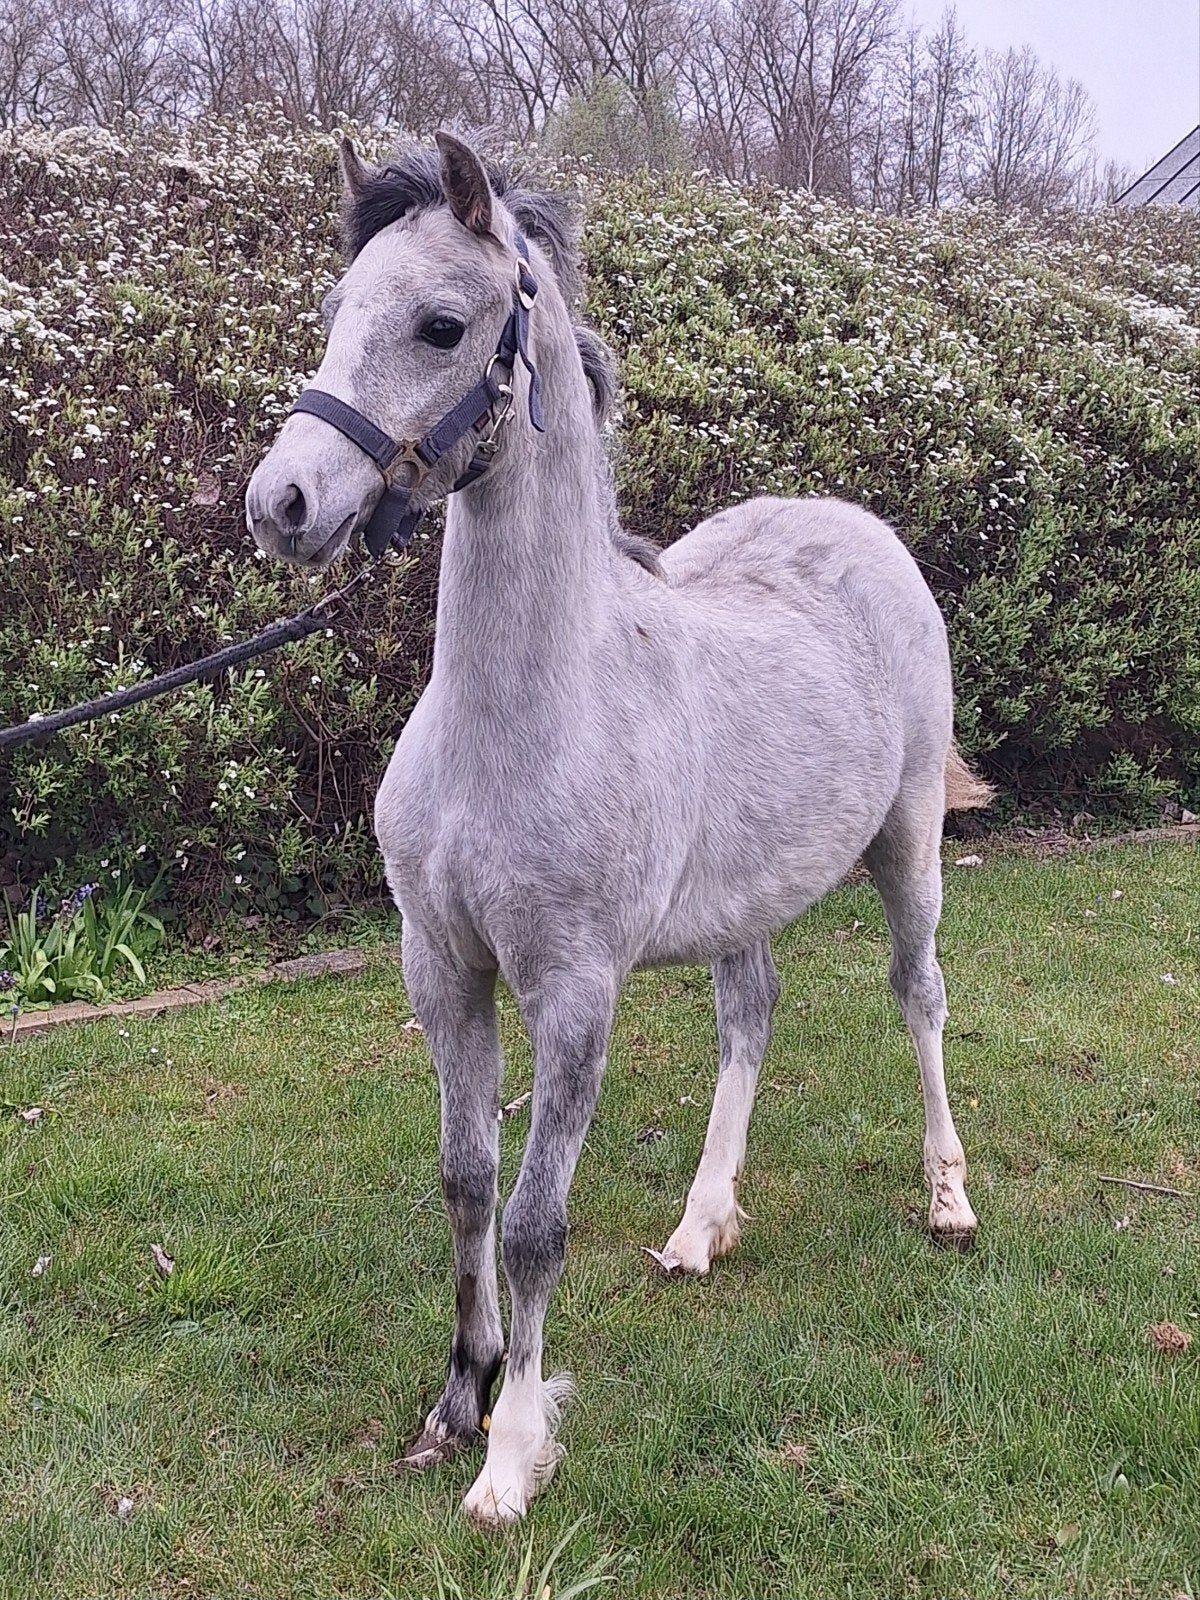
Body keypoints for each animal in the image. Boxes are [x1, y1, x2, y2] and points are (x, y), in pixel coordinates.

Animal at [246, 131, 991, 1526]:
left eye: (441, 324)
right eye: (334, 310)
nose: (285, 504)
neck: (523, 718)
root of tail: (855, 525)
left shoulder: (574, 990)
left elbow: (538, 1221)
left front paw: (511, 1454)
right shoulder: (442, 969)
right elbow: (467, 1180)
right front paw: (457, 1401)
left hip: (908, 844)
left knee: (918, 994)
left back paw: (950, 1198)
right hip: (744, 898)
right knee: (749, 1014)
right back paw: (701, 1228)